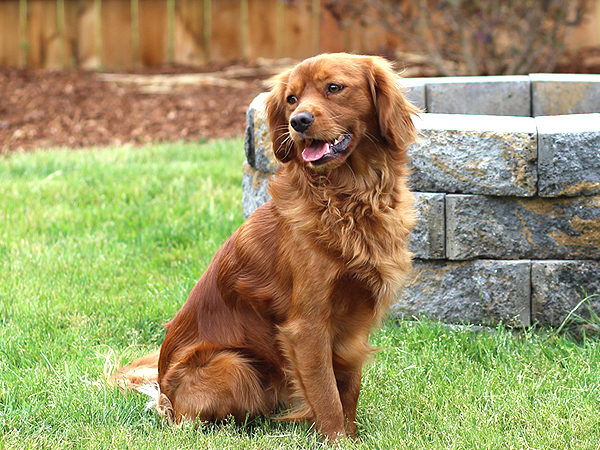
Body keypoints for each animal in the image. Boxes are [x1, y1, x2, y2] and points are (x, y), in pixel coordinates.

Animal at [115, 51, 420, 440]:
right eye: (291, 98)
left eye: (334, 87)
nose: (298, 121)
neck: (347, 198)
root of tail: (163, 394)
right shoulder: (306, 326)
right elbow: (326, 394)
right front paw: (337, 439)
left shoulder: (356, 322)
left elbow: (348, 387)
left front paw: (352, 436)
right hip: (234, 365)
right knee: (192, 421)